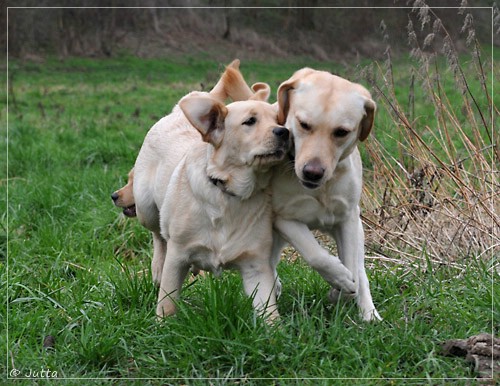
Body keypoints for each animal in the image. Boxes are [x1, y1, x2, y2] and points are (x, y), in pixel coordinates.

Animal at [272, 68, 380, 322]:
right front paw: (339, 280)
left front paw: (341, 288)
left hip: (358, 228)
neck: (321, 189)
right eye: (304, 124)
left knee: (360, 269)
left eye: (341, 132)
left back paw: (370, 314)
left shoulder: (348, 220)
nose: (312, 172)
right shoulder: (283, 218)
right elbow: (316, 255)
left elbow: (352, 270)